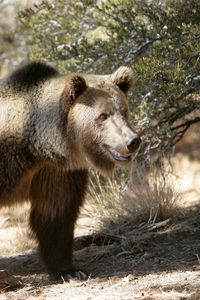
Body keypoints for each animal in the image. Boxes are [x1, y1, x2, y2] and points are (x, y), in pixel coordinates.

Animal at [0, 62, 141, 280]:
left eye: (124, 111)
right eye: (103, 115)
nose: (132, 141)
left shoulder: (56, 171)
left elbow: (56, 212)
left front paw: (69, 270)